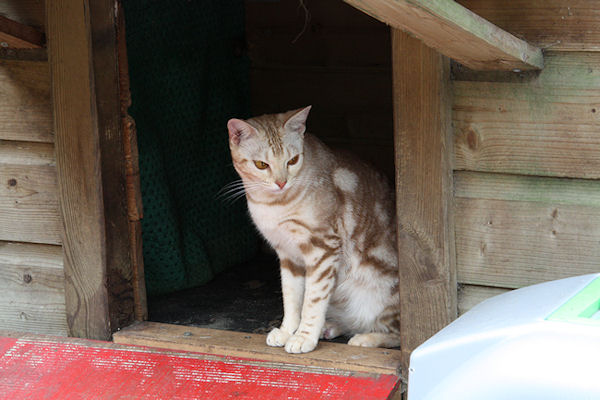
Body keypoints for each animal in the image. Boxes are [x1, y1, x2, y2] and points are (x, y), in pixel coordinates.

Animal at [227, 106, 400, 353]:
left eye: (293, 160)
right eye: (261, 165)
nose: (281, 183)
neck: (273, 205)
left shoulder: (322, 249)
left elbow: (312, 301)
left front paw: (304, 336)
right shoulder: (288, 255)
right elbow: (291, 298)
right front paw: (288, 331)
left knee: (397, 332)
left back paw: (366, 338)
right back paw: (331, 327)